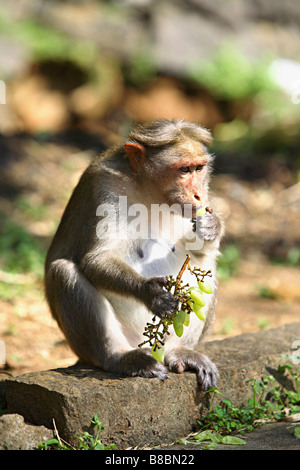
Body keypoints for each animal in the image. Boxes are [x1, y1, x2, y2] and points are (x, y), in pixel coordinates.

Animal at [44, 119, 223, 392]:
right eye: (184, 170)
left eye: (199, 168)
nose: (198, 195)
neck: (150, 192)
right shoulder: (104, 185)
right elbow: (97, 259)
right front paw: (151, 293)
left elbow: (201, 251)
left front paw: (212, 226)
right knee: (63, 271)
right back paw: (120, 358)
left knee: (207, 266)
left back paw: (177, 351)